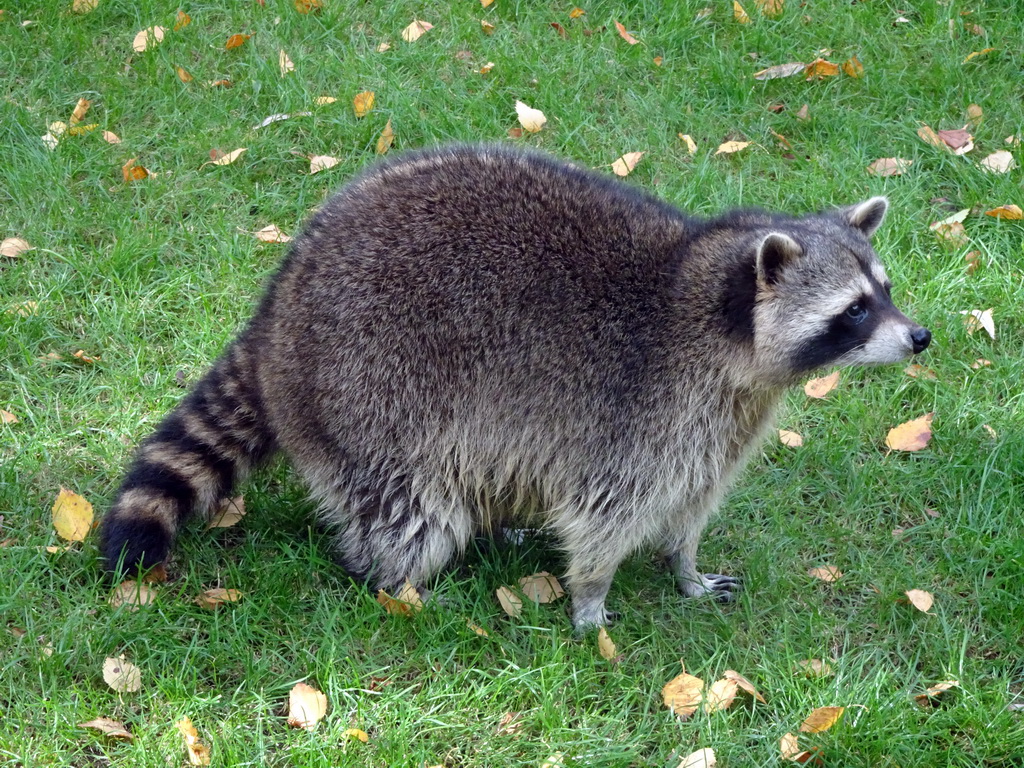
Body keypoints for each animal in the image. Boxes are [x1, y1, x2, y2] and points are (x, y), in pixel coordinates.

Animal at [99, 144, 933, 630]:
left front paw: (685, 568)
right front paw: (591, 600)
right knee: (410, 512)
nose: (920, 337)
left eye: (885, 290)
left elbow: (693, 499)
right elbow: (609, 514)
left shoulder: (722, 421)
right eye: (854, 311)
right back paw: (396, 580)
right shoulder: (644, 410)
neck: (717, 319)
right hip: (363, 388)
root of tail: (276, 306)